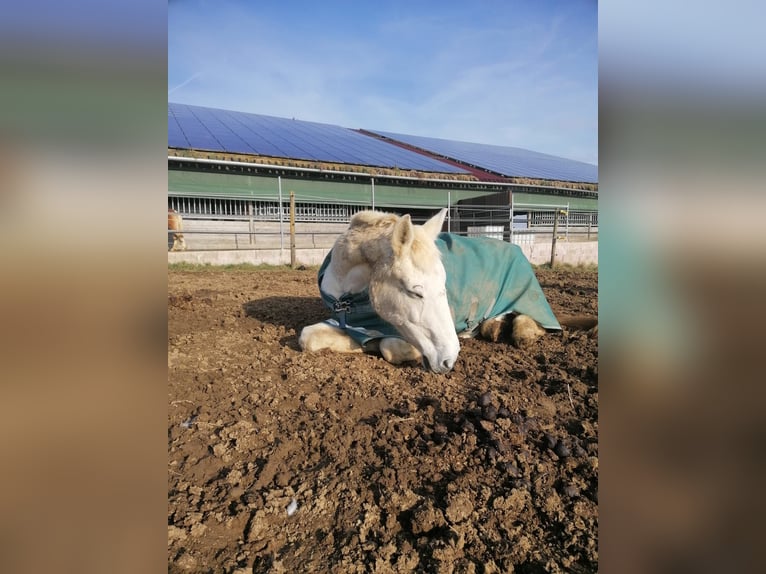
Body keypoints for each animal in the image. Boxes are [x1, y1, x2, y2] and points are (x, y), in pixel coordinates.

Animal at [298, 209, 584, 376]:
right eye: (414, 292)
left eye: (444, 286)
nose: (450, 359)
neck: (348, 300)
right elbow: (307, 338)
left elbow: (389, 347)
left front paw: (373, 346)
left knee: (530, 323)